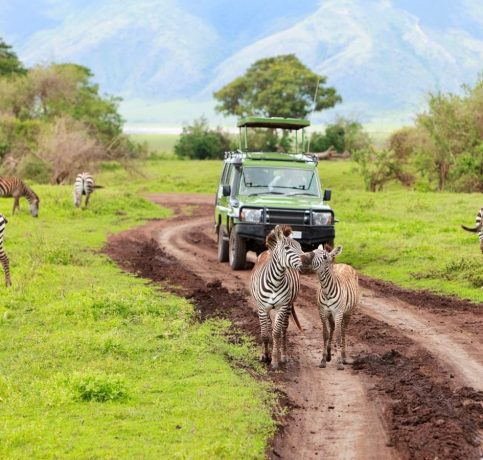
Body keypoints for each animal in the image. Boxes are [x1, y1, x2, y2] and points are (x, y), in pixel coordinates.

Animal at [250, 224, 302, 370]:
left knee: (283, 329)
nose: (306, 259)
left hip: (288, 306)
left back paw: (282, 355)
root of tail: (269, 250)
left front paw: (274, 360)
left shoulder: (282, 307)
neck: (275, 281)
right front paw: (264, 356)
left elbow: (277, 333)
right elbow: (265, 334)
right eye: (287, 248)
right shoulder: (262, 308)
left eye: (300, 246)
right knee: (268, 326)